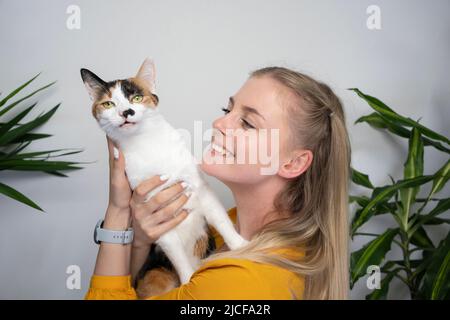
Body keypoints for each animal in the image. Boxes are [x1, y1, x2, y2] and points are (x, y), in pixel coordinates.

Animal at [81, 57, 250, 298]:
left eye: (136, 98)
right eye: (109, 104)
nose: (126, 112)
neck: (147, 143)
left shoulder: (200, 188)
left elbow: (221, 219)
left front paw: (240, 246)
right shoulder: (156, 219)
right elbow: (179, 258)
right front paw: (189, 281)